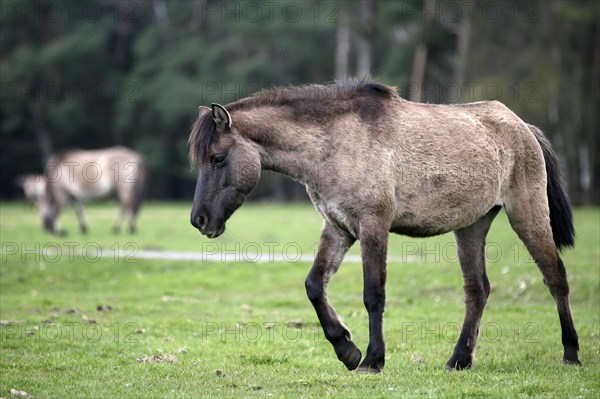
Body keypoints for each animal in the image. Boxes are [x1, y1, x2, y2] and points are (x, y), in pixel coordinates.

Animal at [189, 79, 580, 374]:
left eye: (217, 158)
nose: (199, 220)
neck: (336, 144)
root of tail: (522, 127)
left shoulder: (372, 225)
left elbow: (373, 294)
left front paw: (372, 360)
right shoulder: (338, 227)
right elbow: (314, 285)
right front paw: (347, 349)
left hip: (527, 215)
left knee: (555, 278)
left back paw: (571, 353)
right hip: (471, 227)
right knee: (477, 290)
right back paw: (459, 360)